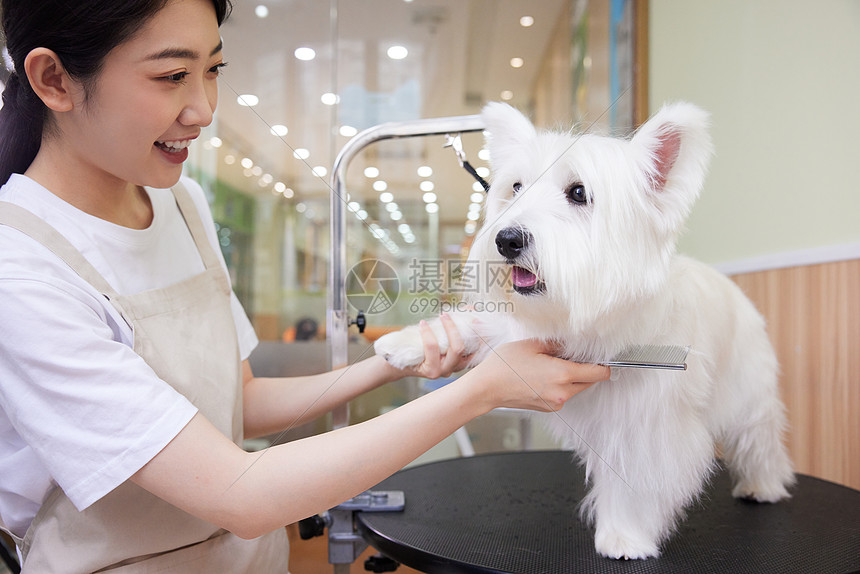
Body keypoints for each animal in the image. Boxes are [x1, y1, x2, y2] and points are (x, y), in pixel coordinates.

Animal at [372, 101, 796, 560]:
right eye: (516, 187)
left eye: (578, 193)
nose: (506, 239)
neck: (580, 319)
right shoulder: (516, 327)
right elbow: (473, 322)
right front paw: (408, 342)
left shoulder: (645, 419)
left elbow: (636, 476)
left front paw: (625, 536)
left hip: (748, 392)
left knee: (759, 438)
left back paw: (763, 485)